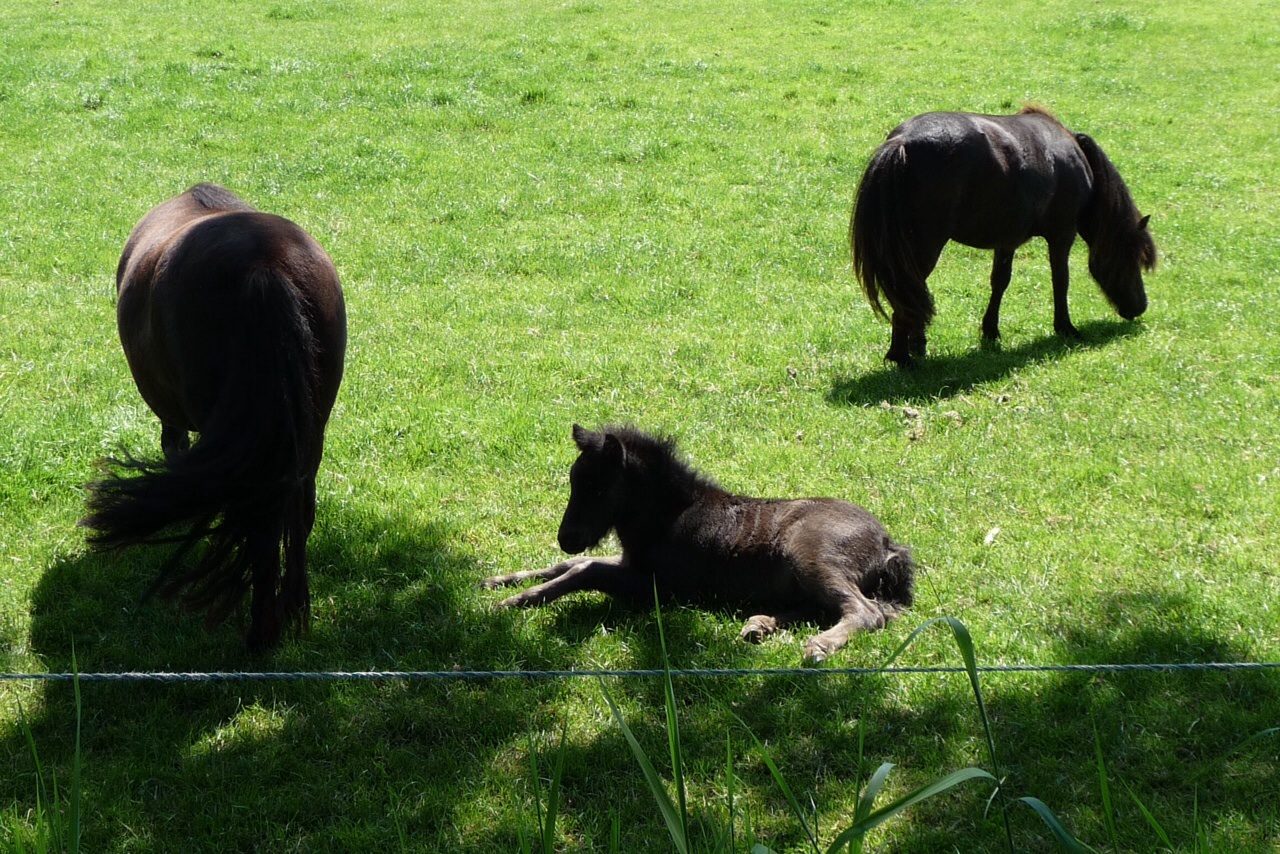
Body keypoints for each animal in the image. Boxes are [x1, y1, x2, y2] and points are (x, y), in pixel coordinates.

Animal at [81, 183, 347, 652]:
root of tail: (264, 264)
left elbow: (175, 449)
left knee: (262, 529)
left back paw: (261, 636)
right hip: (304, 439)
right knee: (296, 512)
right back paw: (291, 615)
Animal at [481, 424, 915, 664]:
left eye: (599, 487)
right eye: (575, 481)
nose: (567, 538)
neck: (668, 514)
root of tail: (888, 545)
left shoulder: (660, 587)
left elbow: (585, 570)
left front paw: (517, 601)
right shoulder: (630, 563)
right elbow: (567, 568)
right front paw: (500, 581)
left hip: (810, 557)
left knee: (866, 611)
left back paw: (818, 647)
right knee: (830, 607)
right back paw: (758, 625)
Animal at [850, 106, 1157, 367]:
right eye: (1135, 257)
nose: (1140, 306)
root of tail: (901, 142)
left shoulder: (1007, 240)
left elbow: (1000, 282)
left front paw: (991, 331)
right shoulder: (1062, 235)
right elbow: (1061, 281)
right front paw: (1066, 328)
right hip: (923, 249)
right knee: (906, 293)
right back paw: (902, 356)